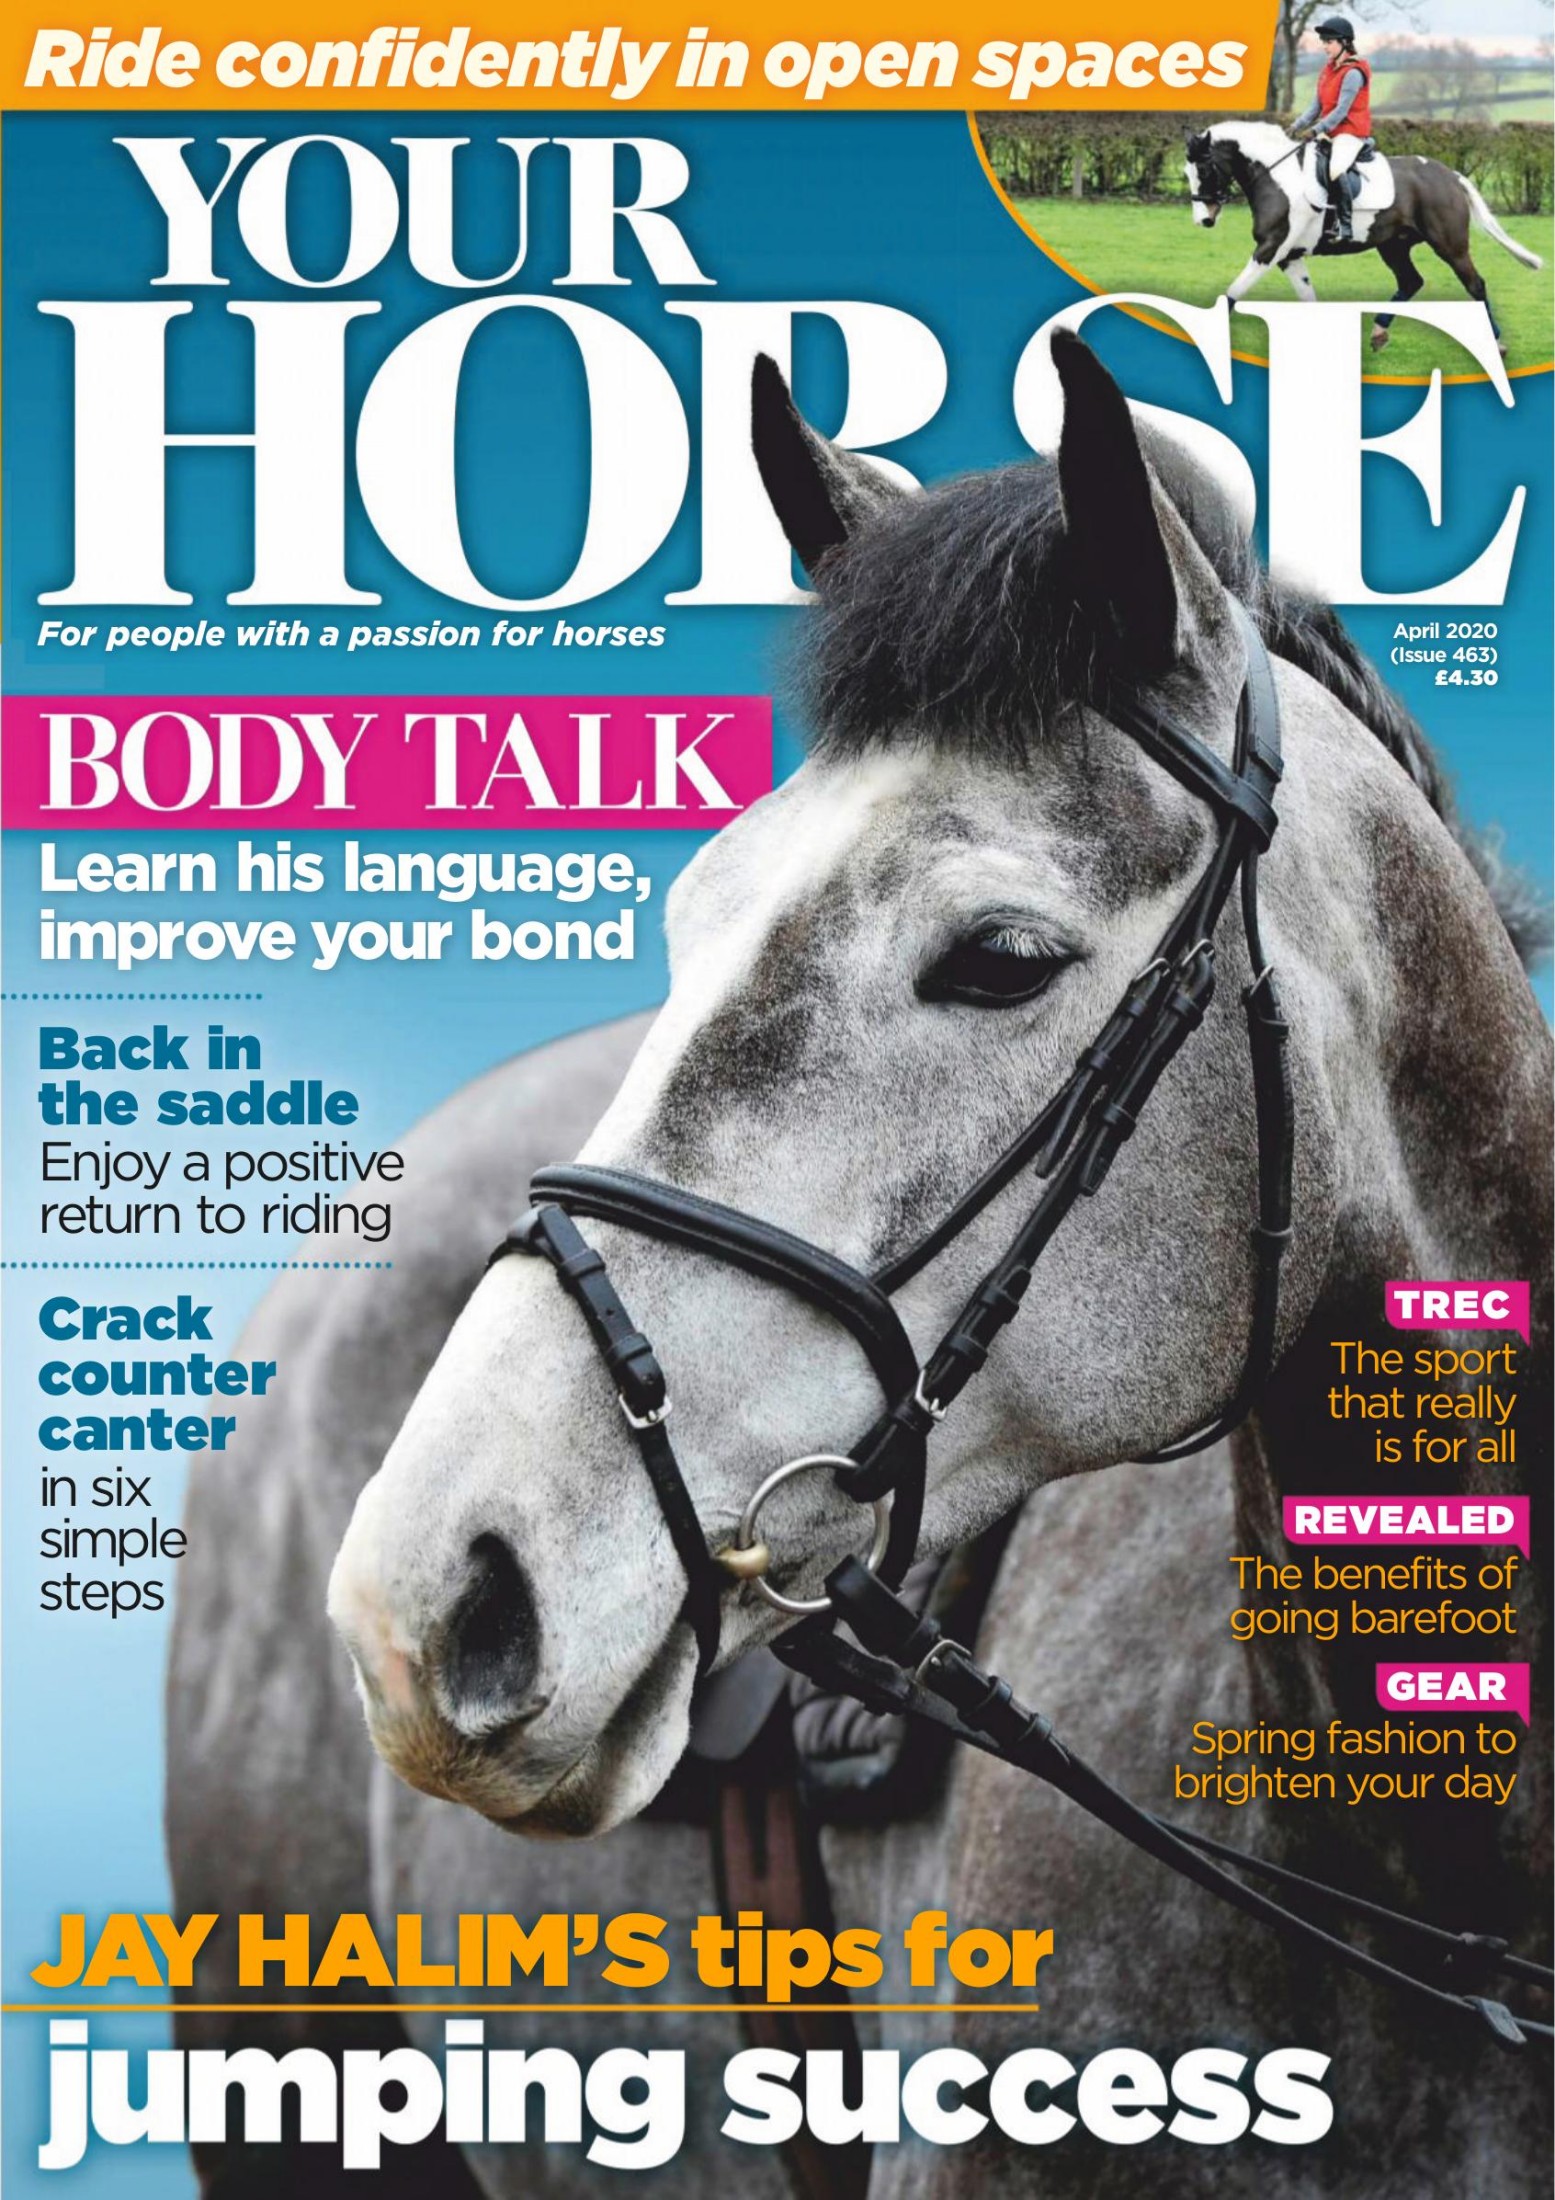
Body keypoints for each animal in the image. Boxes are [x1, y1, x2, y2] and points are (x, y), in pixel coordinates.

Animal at [1184, 121, 1542, 353]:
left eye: (1203, 169)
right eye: (1187, 172)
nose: (1203, 219)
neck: (1276, 176)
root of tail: (1450, 175)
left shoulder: (1271, 249)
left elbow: (1233, 293)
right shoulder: (1290, 256)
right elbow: (1307, 299)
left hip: (1450, 246)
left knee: (1475, 285)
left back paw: (1496, 344)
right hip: (1393, 245)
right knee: (1411, 282)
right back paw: (1379, 334)